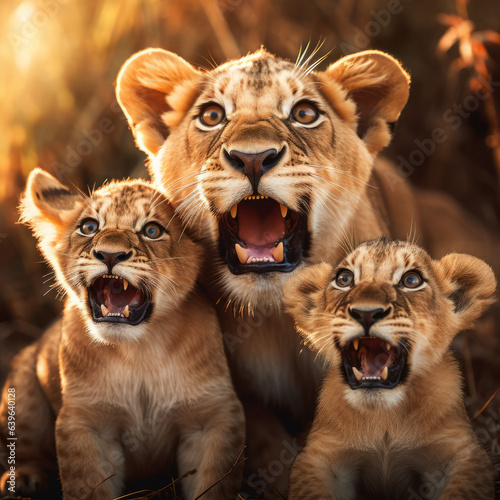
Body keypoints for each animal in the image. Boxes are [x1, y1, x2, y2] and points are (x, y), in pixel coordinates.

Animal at [0, 169, 246, 500]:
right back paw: (24, 478)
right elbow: (89, 487)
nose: (109, 254)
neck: (138, 351)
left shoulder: (213, 418)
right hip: (24, 383)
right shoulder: (85, 422)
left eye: (152, 230)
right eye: (89, 227)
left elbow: (213, 485)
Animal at [282, 237, 496, 496]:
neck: (385, 418)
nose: (366, 313)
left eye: (411, 280)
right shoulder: (319, 455)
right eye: (344, 279)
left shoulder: (461, 450)